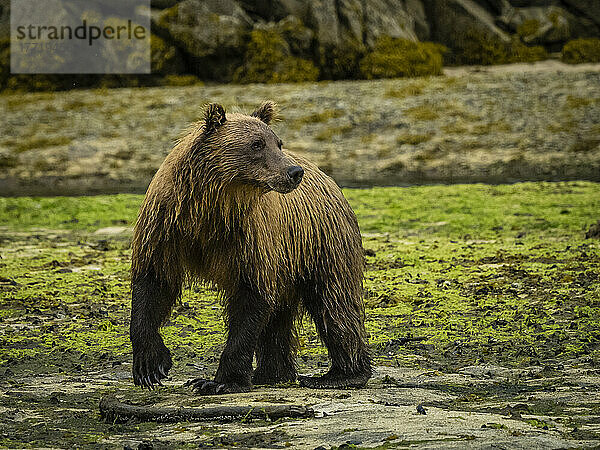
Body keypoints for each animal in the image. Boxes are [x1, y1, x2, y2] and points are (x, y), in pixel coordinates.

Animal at [131, 100, 370, 392]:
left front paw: (218, 381)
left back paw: (340, 374)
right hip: (288, 258)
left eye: (277, 142)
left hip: (320, 242)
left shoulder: (250, 239)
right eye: (257, 144)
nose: (294, 172)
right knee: (280, 318)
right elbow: (153, 284)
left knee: (333, 301)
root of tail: (326, 177)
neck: (210, 209)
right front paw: (150, 366)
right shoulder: (166, 228)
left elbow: (251, 298)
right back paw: (272, 374)